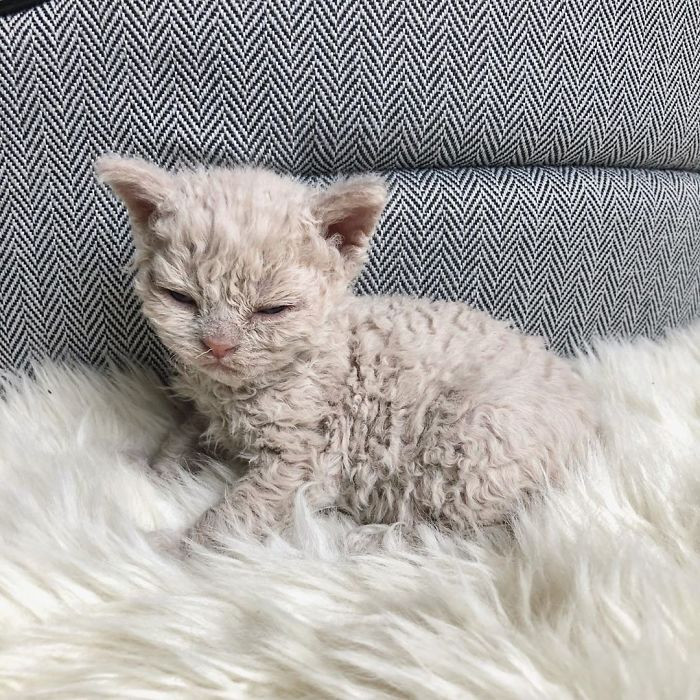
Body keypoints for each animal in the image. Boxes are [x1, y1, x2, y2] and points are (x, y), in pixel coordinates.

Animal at [95, 157, 592, 540]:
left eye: (272, 310)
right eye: (181, 298)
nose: (218, 344)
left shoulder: (305, 460)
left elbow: (233, 518)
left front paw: (172, 554)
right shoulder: (207, 411)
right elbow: (180, 435)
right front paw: (149, 474)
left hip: (470, 441)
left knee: (473, 533)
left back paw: (368, 541)